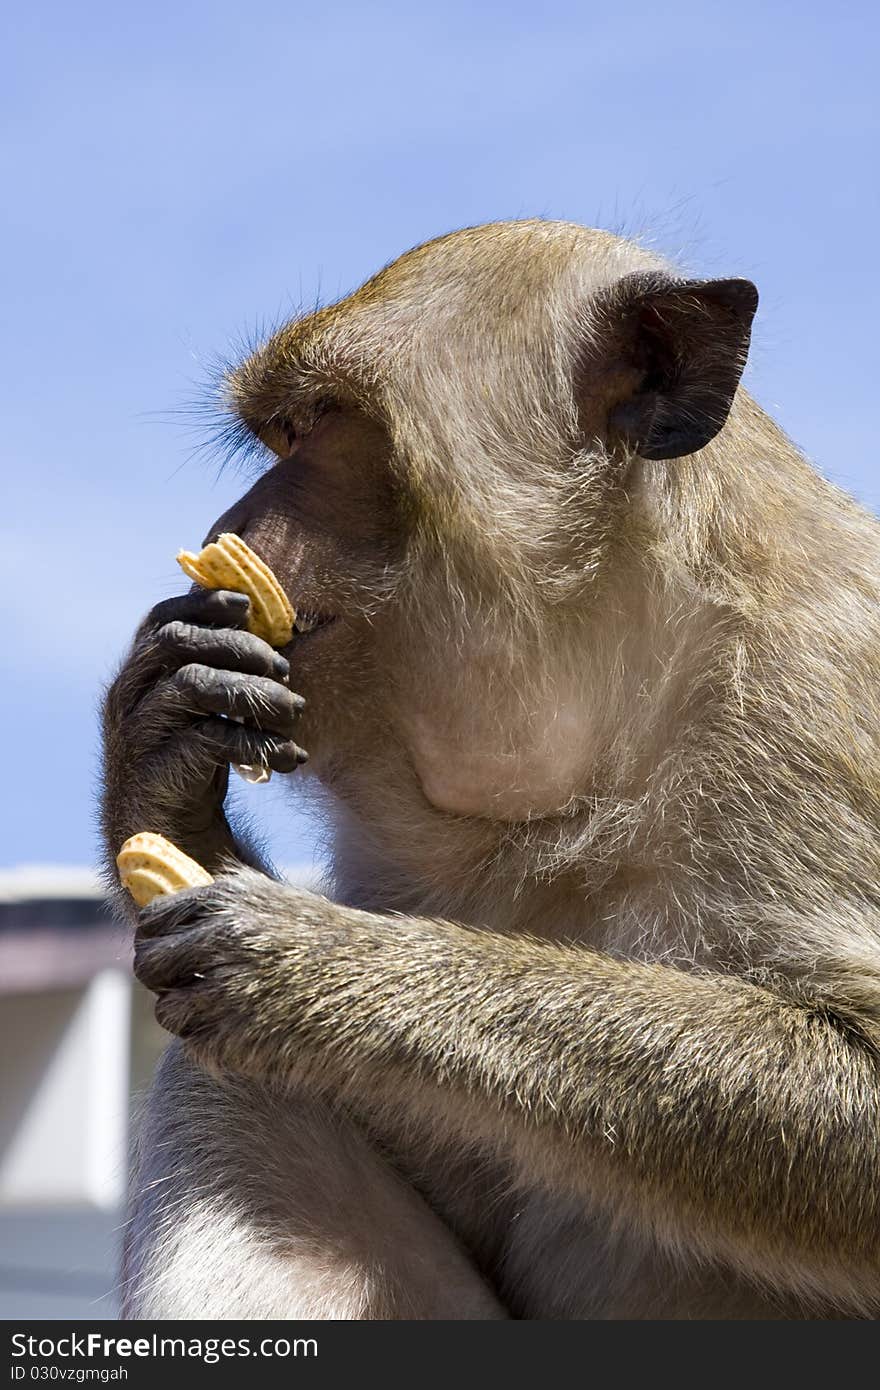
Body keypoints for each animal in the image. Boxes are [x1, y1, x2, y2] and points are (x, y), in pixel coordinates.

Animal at [99, 216, 878, 1312]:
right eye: (284, 432)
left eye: (325, 419)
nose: (227, 530)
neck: (602, 745)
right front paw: (165, 774)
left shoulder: (821, 706)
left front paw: (322, 967)